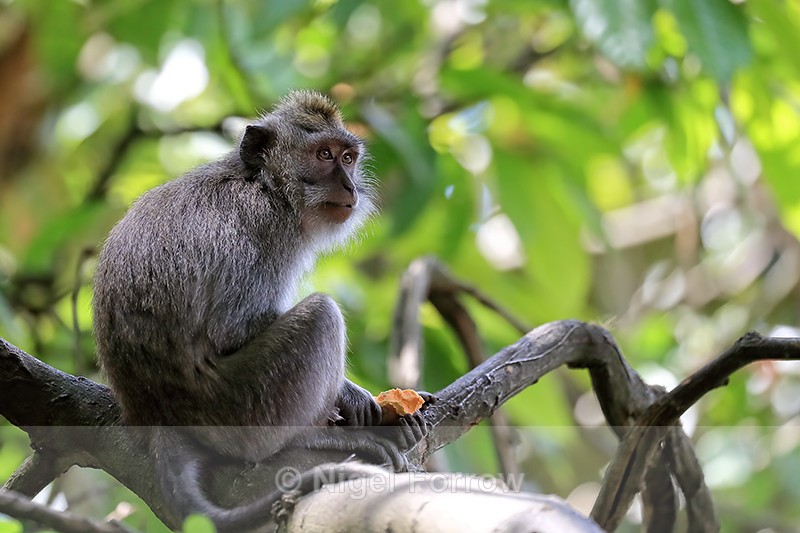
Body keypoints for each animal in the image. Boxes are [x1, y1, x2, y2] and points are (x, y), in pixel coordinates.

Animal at [92, 91, 429, 531]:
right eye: (323, 155)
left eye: (348, 157)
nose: (349, 185)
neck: (266, 186)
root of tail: (154, 414)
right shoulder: (263, 226)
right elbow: (234, 328)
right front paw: (352, 396)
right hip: (245, 404)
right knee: (321, 314)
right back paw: (314, 436)